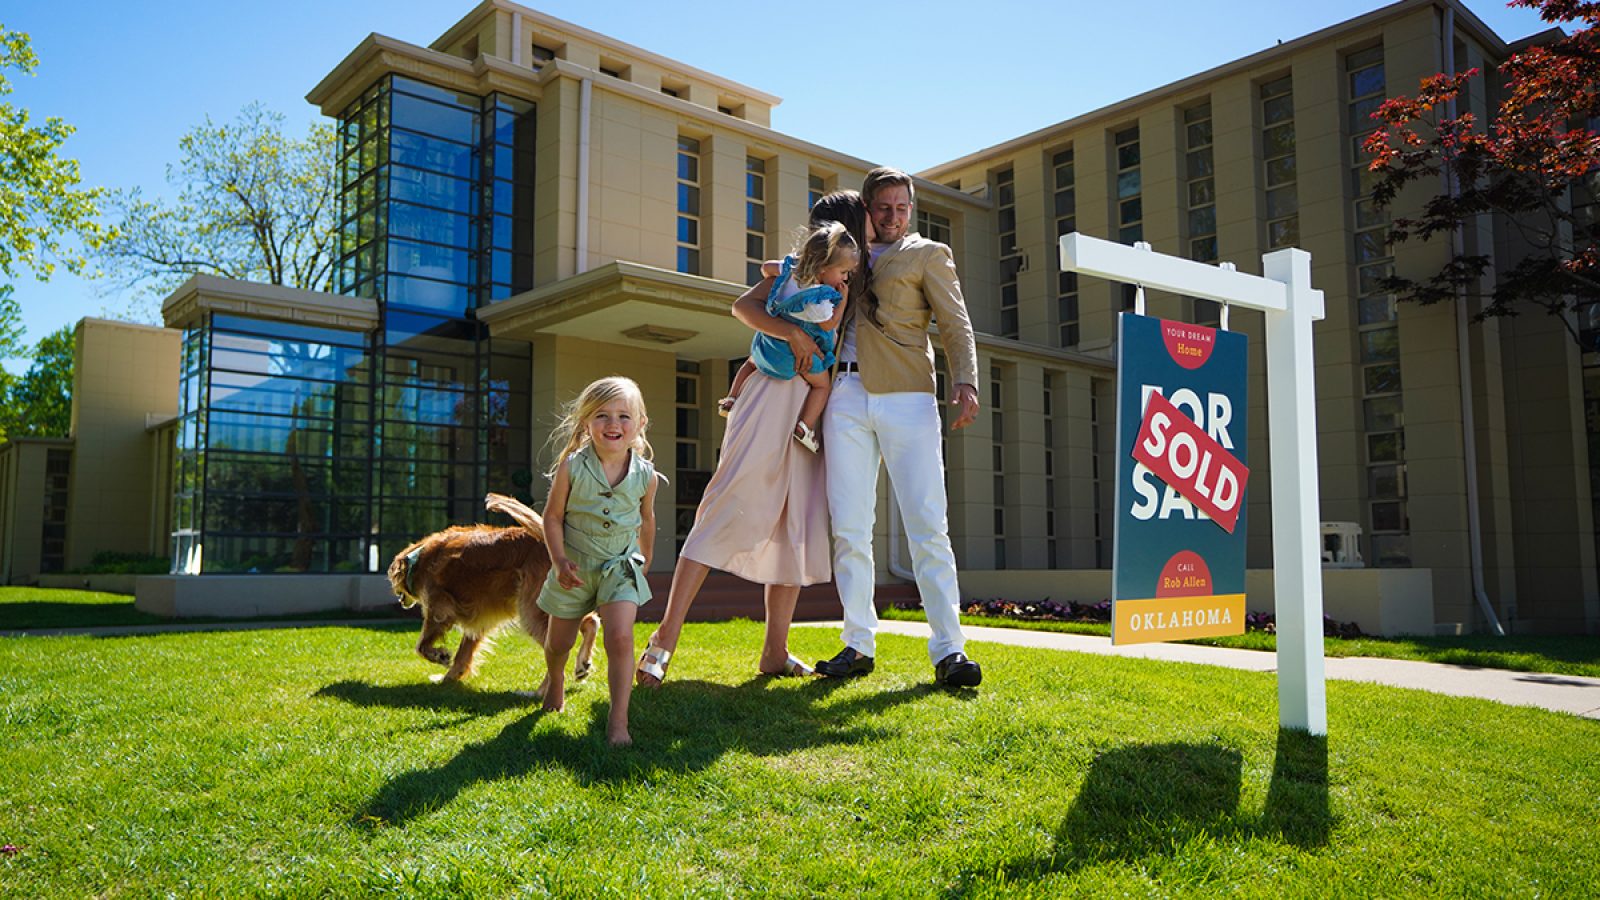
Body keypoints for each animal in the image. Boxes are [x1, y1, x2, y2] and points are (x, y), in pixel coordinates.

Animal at [388, 490, 601, 685]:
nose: (399, 600)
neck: (418, 558)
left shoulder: (438, 609)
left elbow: (421, 646)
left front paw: (440, 656)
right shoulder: (479, 620)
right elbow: (463, 655)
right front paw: (449, 678)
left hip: (530, 610)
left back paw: (541, 691)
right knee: (590, 621)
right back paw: (582, 666)